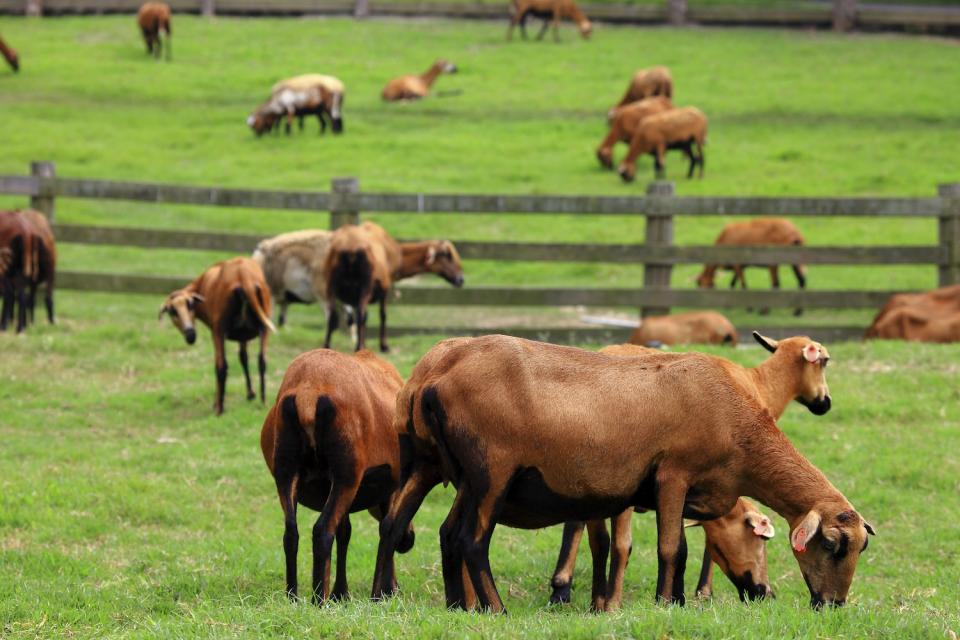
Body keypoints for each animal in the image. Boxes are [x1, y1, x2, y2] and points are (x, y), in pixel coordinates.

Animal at [160, 256, 274, 416]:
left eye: (190, 304)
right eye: (172, 311)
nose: (190, 334)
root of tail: (244, 276)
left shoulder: (216, 331)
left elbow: (222, 363)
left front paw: (216, 402)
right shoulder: (243, 335)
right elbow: (243, 358)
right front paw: (251, 394)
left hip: (219, 328)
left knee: (221, 366)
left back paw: (219, 409)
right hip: (265, 323)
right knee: (262, 361)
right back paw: (263, 402)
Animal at [260, 348, 414, 604]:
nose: (408, 541)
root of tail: (307, 392)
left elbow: (345, 532)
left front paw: (341, 593)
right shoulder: (389, 487)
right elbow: (386, 528)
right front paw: (384, 591)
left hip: (286, 470)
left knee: (291, 533)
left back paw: (293, 597)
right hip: (346, 474)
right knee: (322, 530)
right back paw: (318, 600)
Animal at [322, 222, 464, 352]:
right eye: (448, 255)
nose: (461, 279)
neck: (398, 254)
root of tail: (349, 248)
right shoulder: (385, 286)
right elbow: (382, 315)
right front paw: (383, 346)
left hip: (330, 284)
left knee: (332, 316)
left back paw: (327, 346)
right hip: (365, 285)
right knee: (361, 314)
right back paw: (358, 347)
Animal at [404, 332, 872, 612]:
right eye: (832, 544)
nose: (833, 605)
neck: (740, 428)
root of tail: (435, 377)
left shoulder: (686, 491)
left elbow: (682, 549)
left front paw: (677, 602)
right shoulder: (672, 475)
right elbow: (671, 549)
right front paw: (666, 603)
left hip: (467, 477)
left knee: (448, 534)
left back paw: (457, 607)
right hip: (492, 471)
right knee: (472, 540)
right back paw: (496, 610)